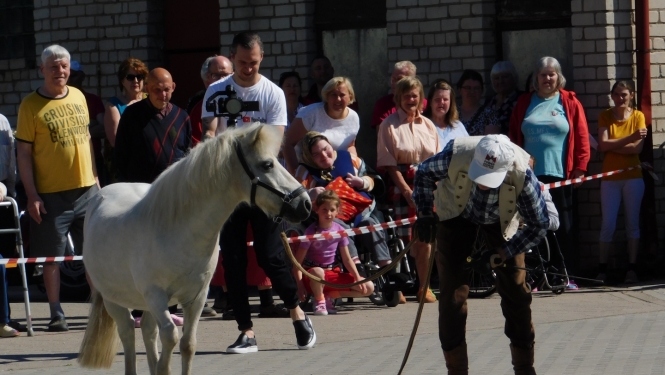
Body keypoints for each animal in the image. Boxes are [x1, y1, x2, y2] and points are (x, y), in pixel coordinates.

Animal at [78, 125, 312, 374]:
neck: (176, 231)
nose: (305, 204)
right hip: (115, 301)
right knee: (128, 333)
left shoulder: (196, 298)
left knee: (148, 331)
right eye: (267, 164)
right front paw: (163, 368)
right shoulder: (156, 296)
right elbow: (170, 337)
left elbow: (188, 344)